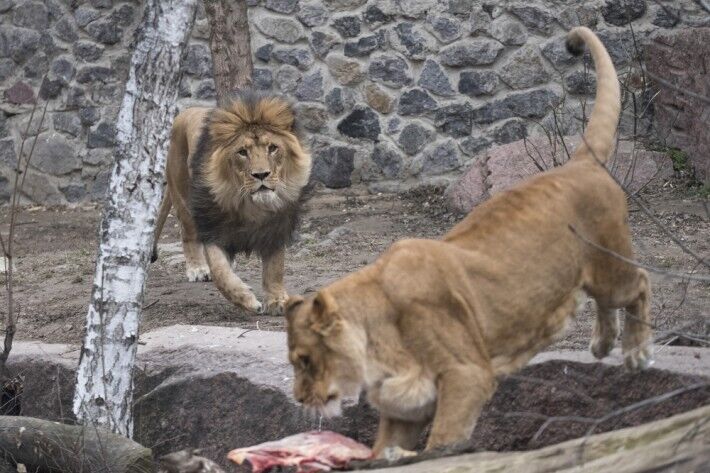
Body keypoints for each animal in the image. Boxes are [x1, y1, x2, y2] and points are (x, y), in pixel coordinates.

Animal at [153, 91, 312, 314]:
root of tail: (185, 112)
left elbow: (275, 267)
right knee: (187, 233)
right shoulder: (212, 228)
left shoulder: (276, 226)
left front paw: (277, 300)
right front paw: (245, 299)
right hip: (183, 197)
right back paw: (197, 268)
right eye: (242, 152)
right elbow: (220, 272)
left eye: (272, 148)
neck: (249, 205)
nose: (261, 175)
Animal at [286, 27, 652, 456]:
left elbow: (441, 445)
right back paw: (602, 343)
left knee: (639, 282)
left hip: (613, 269)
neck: (375, 343)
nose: (298, 399)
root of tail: (578, 162)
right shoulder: (406, 407)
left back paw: (635, 352)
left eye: (305, 360)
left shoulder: (467, 376)